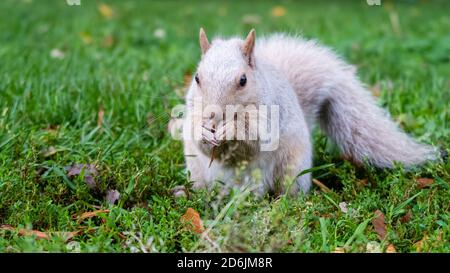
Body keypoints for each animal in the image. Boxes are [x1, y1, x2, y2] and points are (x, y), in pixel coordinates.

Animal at [180, 28, 440, 196]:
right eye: (197, 78)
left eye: (243, 80)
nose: (213, 116)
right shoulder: (193, 111)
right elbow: (198, 139)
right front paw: (203, 131)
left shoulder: (270, 114)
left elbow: (252, 140)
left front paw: (230, 130)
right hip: (197, 172)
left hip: (290, 168)